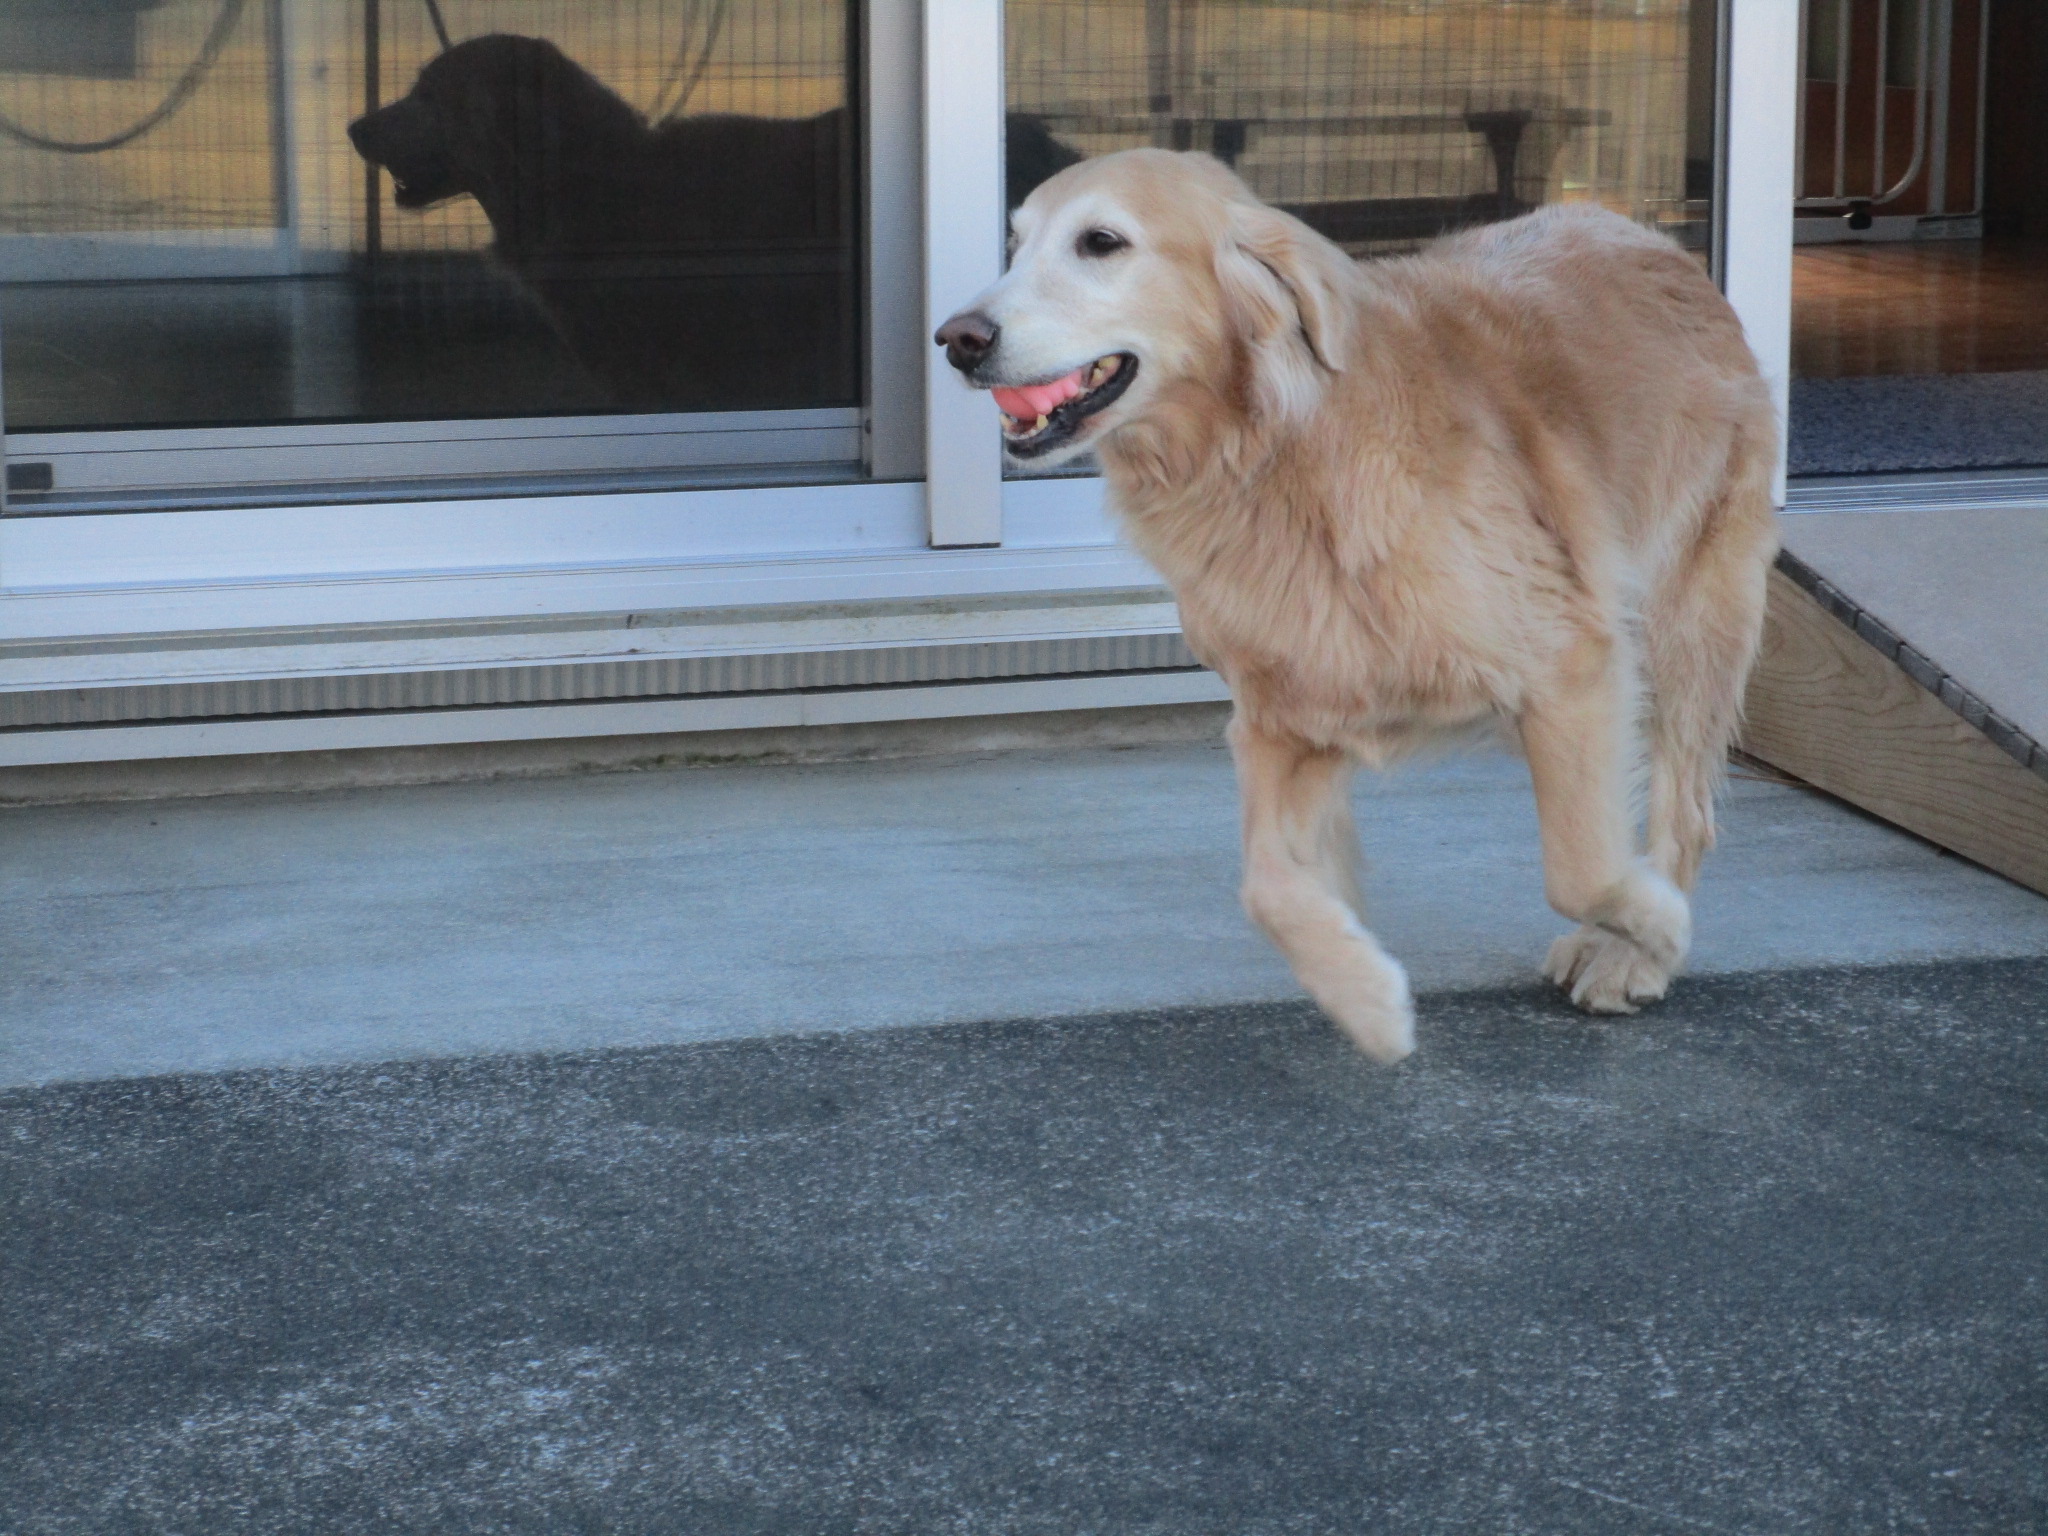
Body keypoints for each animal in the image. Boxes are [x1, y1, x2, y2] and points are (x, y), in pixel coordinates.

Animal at [937, 159, 1777, 1073]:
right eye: (1016, 244)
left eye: (1101, 242)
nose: (957, 338)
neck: (1268, 456)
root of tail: (1654, 243)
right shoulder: (1285, 716)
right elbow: (1268, 888)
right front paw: (1365, 998)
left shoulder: (1573, 660)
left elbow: (1580, 866)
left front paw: (1656, 926)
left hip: (1686, 622)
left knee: (1683, 811)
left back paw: (1629, 955)